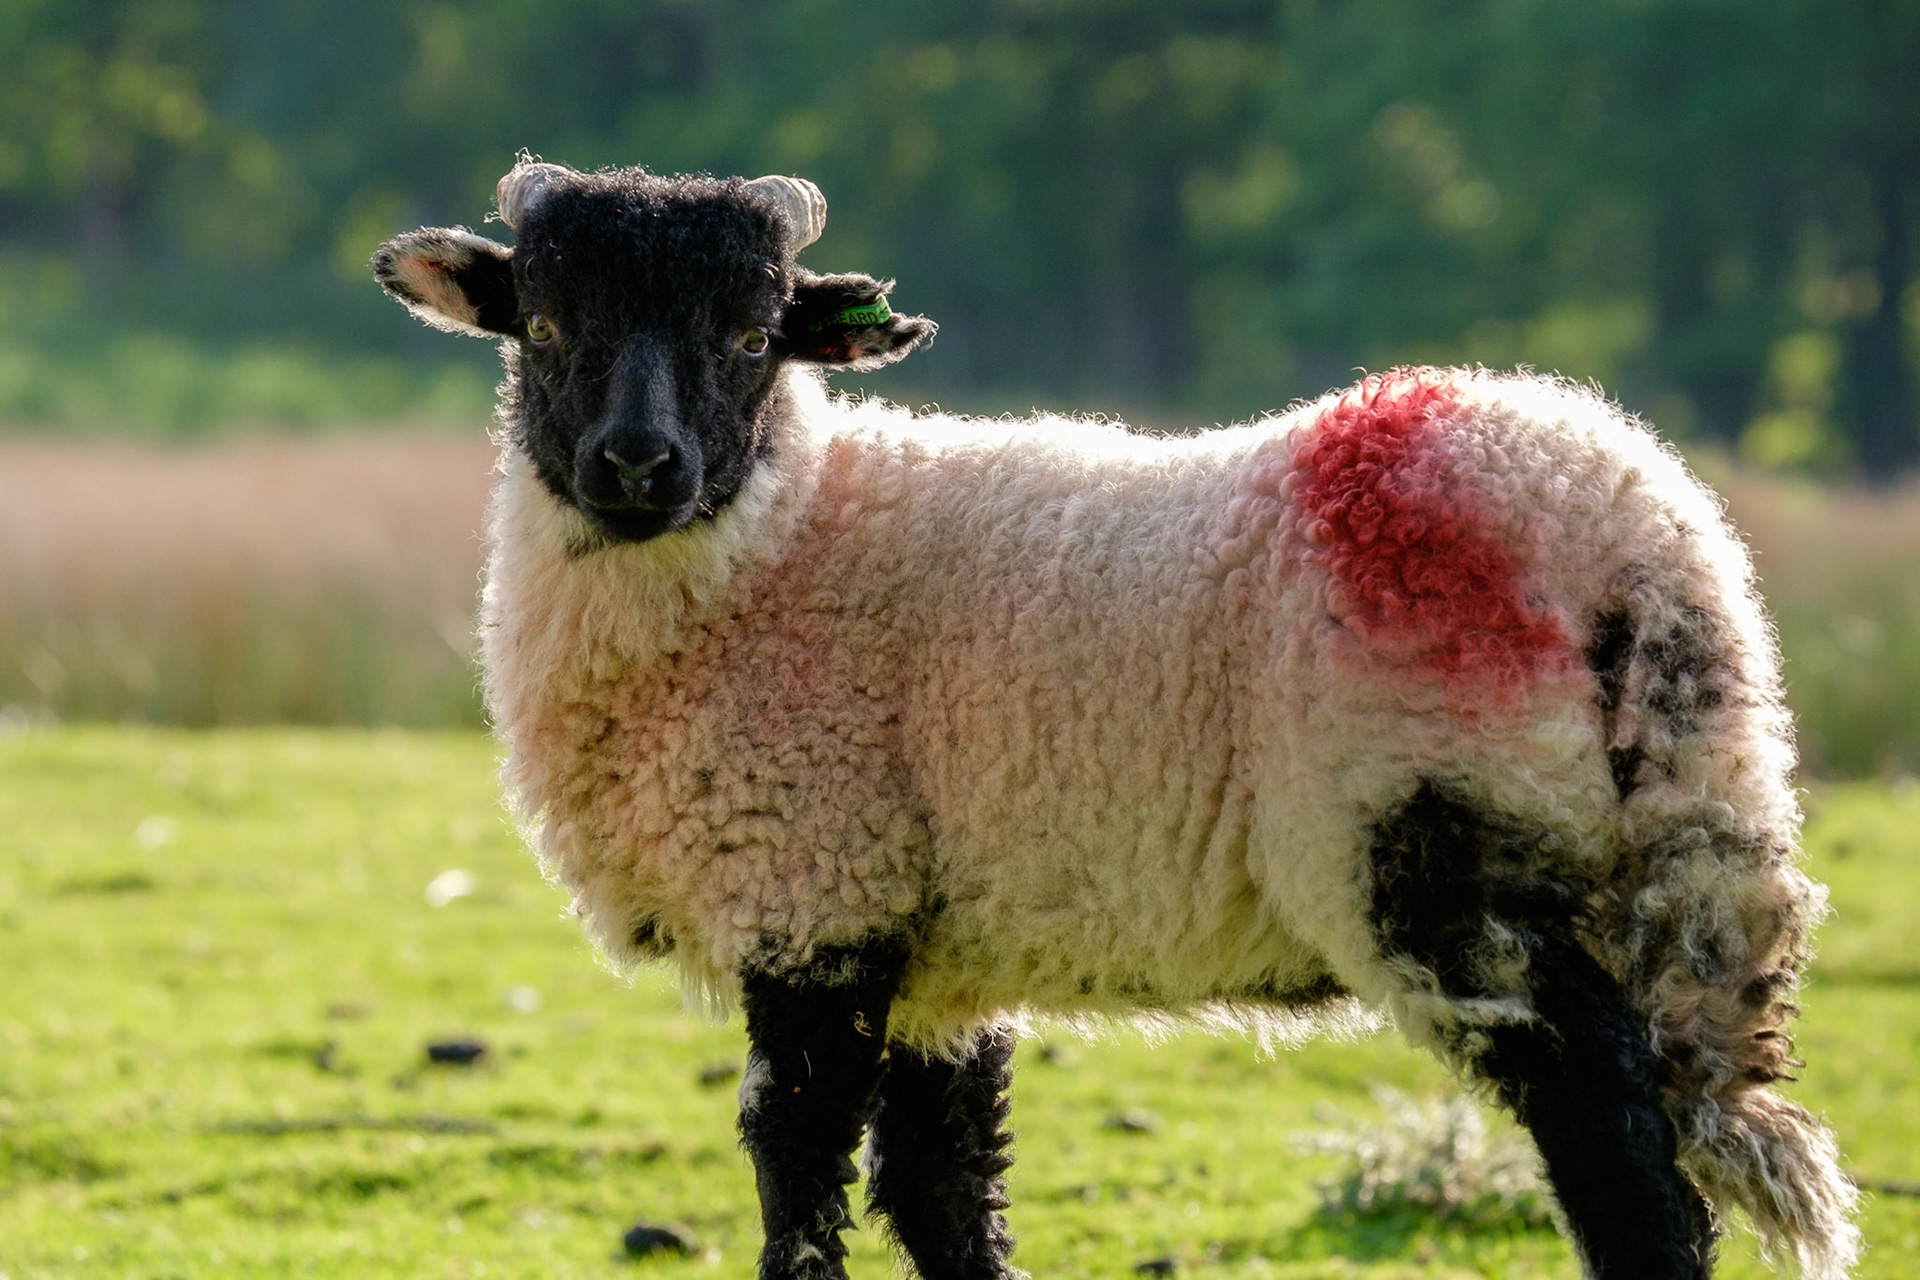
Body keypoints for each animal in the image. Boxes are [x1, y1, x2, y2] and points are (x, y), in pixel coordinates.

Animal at [372, 159, 1858, 1280]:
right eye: (543, 327)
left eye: (751, 338)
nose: (637, 464)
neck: (785, 542)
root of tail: (1636, 541)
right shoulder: (935, 954)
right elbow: (946, 1193)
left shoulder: (817, 891)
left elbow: (793, 1165)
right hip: (1641, 847)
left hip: (1446, 845)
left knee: (1625, 1167)